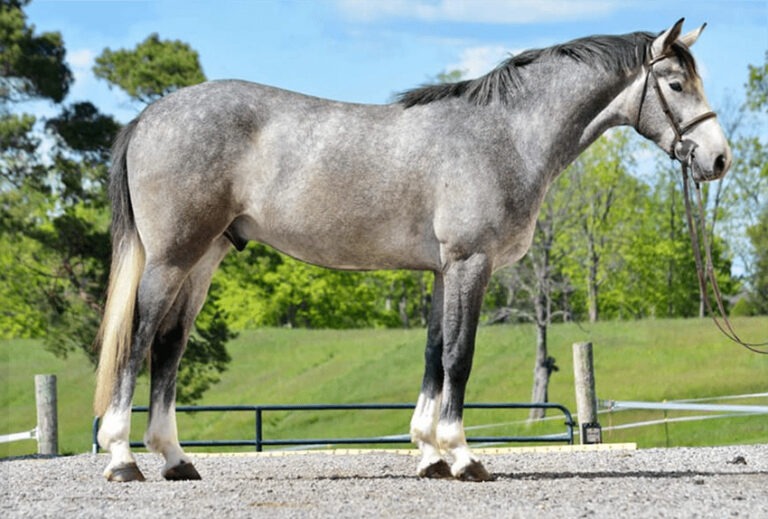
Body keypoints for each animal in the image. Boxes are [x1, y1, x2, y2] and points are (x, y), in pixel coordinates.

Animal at [93, 20, 728, 484]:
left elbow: (432, 355)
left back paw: (176, 460)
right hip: (172, 258)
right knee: (139, 339)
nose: (718, 159)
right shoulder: (471, 264)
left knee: (169, 347)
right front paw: (463, 456)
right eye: (676, 84)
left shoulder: (443, 272)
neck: (505, 136)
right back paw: (123, 459)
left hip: (204, 259)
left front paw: (429, 457)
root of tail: (151, 114)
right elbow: (459, 358)